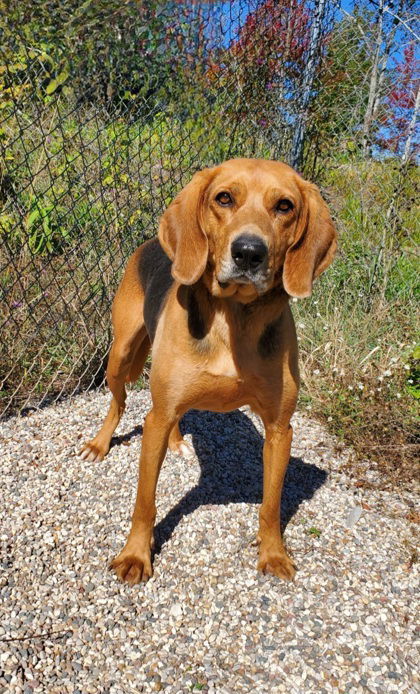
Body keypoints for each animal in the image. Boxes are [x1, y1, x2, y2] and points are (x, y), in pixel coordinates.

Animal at [79, 159, 338, 588]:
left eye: (284, 206)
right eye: (224, 198)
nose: (249, 253)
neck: (235, 318)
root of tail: (153, 242)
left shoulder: (280, 429)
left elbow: (271, 504)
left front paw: (273, 553)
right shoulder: (157, 418)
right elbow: (145, 501)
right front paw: (135, 555)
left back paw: (177, 442)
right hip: (121, 355)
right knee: (120, 403)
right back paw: (100, 444)